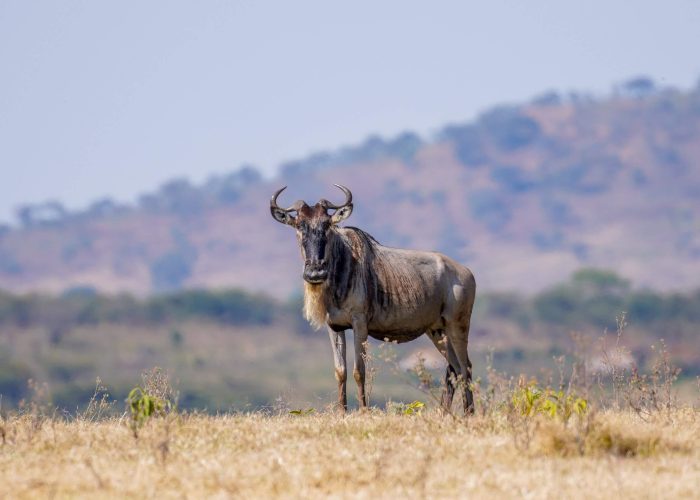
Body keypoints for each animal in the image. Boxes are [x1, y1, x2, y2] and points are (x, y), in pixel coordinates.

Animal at [270, 185, 476, 414]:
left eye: (327, 225)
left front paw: (363, 411)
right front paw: (342, 412)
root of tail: (466, 272)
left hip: (457, 326)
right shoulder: (334, 327)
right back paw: (446, 412)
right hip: (437, 331)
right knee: (454, 369)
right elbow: (340, 371)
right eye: (299, 225)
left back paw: (469, 413)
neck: (341, 266)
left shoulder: (360, 324)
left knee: (465, 367)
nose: (315, 272)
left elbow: (359, 370)